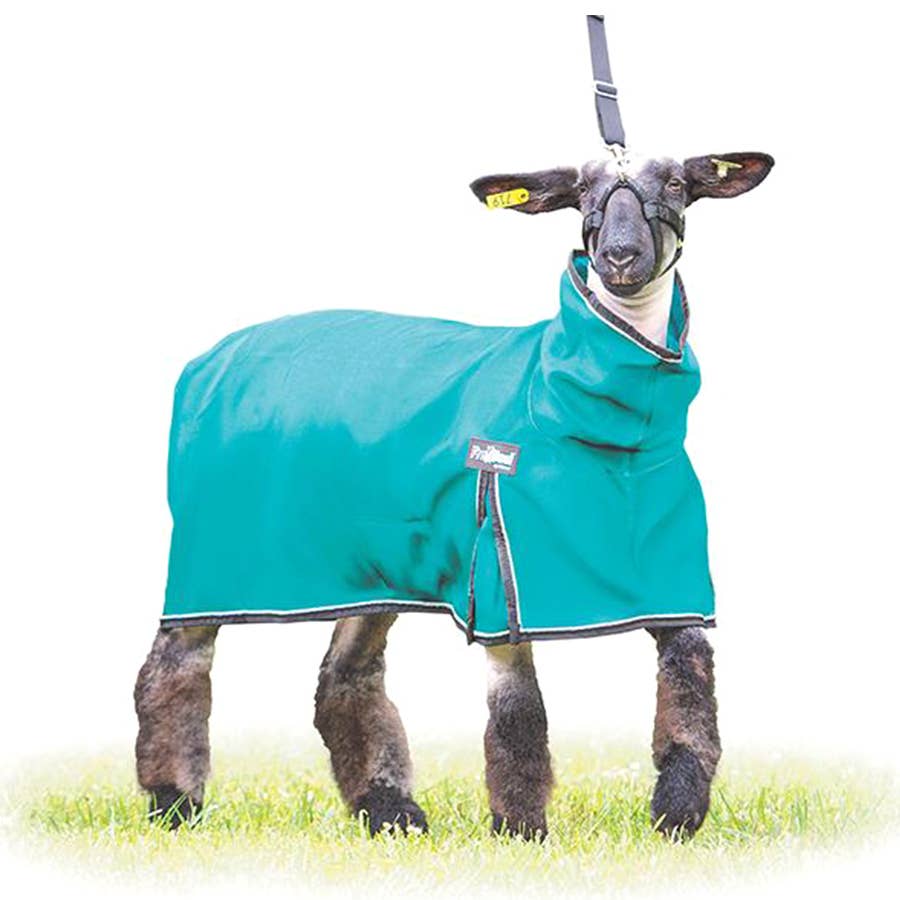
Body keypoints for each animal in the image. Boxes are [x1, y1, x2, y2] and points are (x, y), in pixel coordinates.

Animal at [134, 145, 773, 841]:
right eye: (583, 193)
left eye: (678, 183)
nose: (621, 255)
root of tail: (208, 358)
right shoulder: (503, 572)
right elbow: (519, 715)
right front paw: (521, 830)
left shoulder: (668, 574)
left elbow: (692, 690)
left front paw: (677, 814)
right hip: (210, 554)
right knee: (173, 667)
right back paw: (174, 803)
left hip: (374, 561)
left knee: (344, 680)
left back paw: (391, 813)